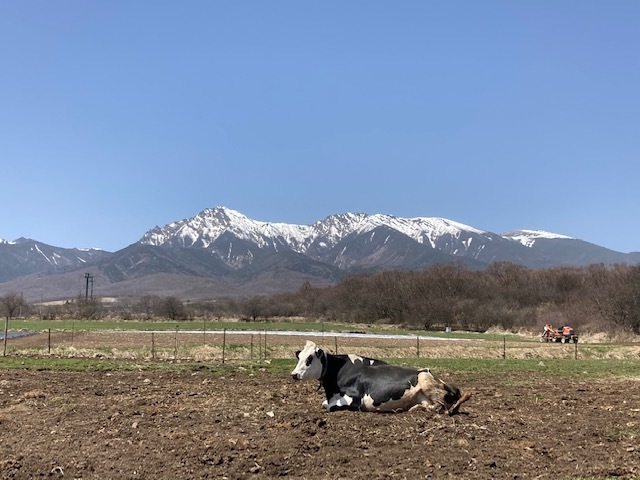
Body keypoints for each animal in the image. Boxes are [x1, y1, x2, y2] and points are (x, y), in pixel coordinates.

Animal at [290, 340, 470, 414]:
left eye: (309, 359)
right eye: (299, 357)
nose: (294, 375)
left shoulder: (354, 399)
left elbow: (329, 407)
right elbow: (324, 404)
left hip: (426, 382)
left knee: (442, 407)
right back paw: (410, 408)